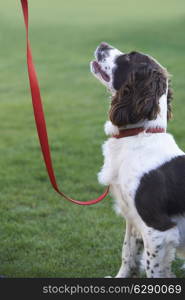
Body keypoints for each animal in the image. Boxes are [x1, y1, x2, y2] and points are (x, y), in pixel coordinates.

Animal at [90, 42, 185, 278]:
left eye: (130, 57)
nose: (103, 44)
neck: (139, 134)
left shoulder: (158, 229)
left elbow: (153, 269)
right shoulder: (132, 217)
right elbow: (128, 252)